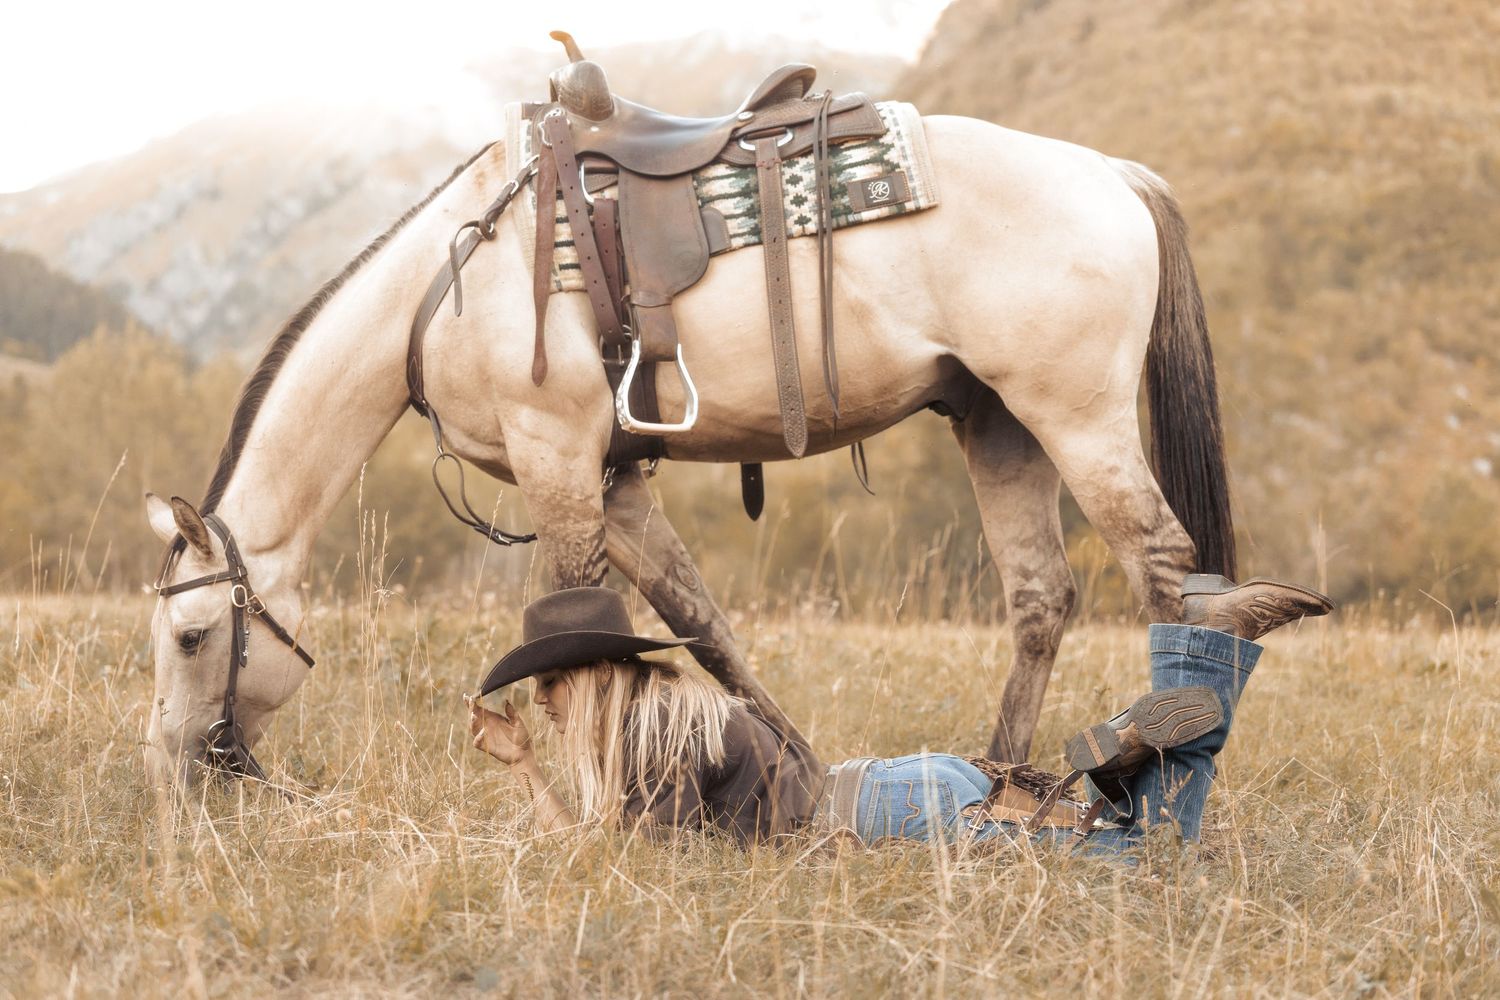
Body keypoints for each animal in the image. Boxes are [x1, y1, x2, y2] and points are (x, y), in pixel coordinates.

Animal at [143, 110, 1233, 785]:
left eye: (190, 637)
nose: (178, 765)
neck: (445, 286)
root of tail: (1113, 173)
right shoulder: (615, 481)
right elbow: (699, 623)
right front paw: (801, 768)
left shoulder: (556, 461)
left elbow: (582, 627)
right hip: (1001, 423)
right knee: (1043, 597)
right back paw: (1001, 783)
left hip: (1076, 417)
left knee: (1169, 575)